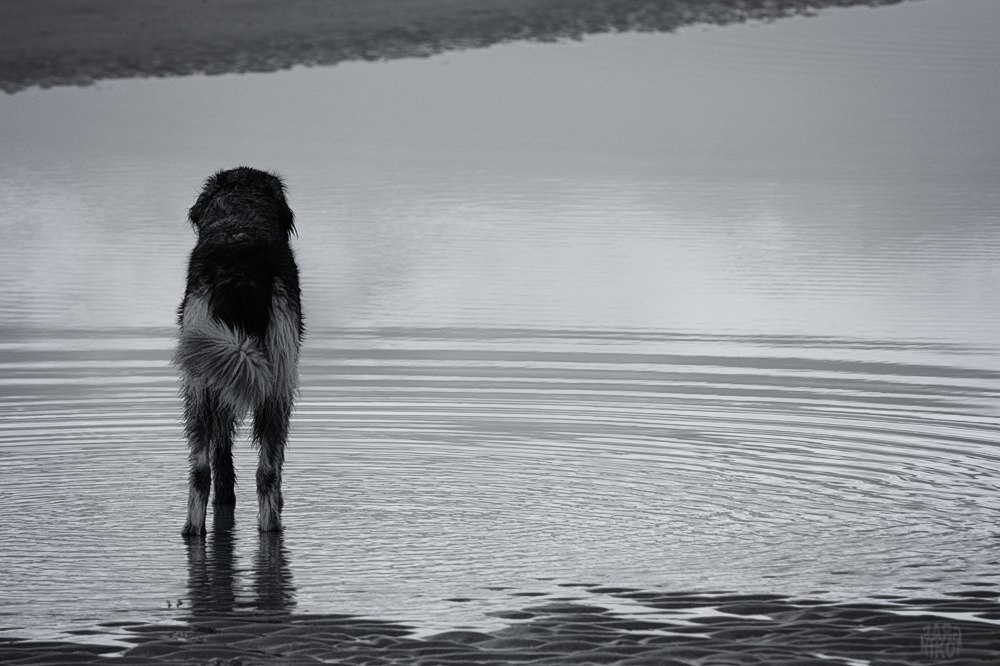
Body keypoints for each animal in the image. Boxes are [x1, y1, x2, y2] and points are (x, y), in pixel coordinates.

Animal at [174, 166, 302, 536]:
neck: (240, 223)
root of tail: (240, 275)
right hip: (269, 383)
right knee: (264, 470)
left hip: (204, 382)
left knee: (205, 469)